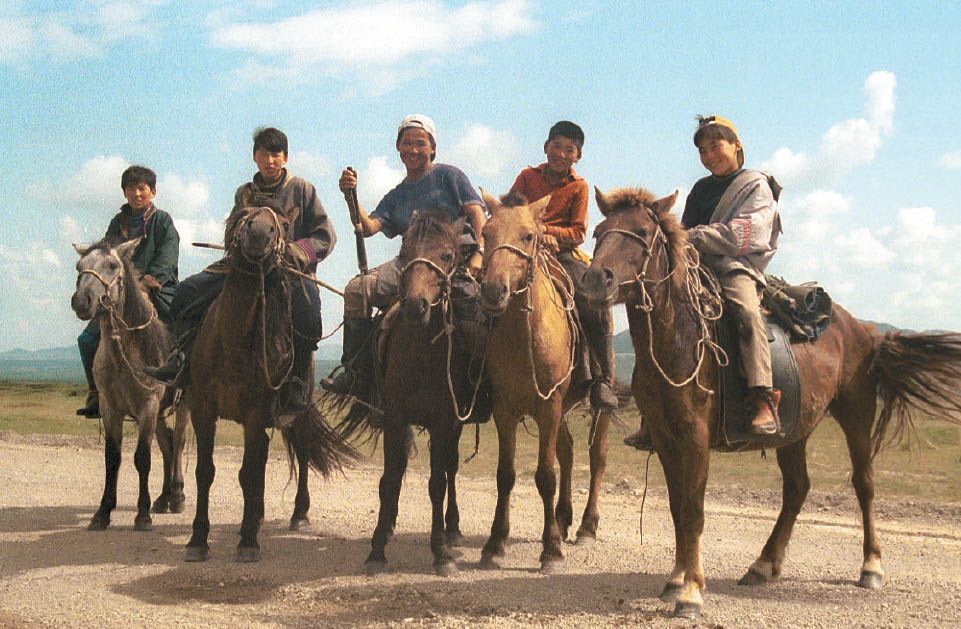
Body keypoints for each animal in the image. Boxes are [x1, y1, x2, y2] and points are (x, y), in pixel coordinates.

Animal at [71, 238, 189, 532]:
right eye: (79, 266)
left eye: (113, 265)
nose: (81, 301)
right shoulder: (110, 408)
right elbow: (112, 458)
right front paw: (102, 513)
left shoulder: (148, 405)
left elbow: (142, 458)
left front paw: (143, 515)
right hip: (159, 413)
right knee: (167, 444)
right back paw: (163, 498)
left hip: (183, 405)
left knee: (179, 441)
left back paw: (177, 496)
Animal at [184, 202, 356, 564]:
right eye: (242, 215)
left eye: (285, 225)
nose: (261, 233)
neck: (232, 342)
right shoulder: (203, 411)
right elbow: (206, 472)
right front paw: (198, 539)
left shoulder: (253, 415)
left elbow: (248, 473)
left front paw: (248, 541)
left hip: (295, 415)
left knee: (300, 456)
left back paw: (298, 514)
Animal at [474, 190, 608, 568]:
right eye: (486, 232)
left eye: (529, 236)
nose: (493, 291)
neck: (525, 335)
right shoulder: (505, 410)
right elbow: (505, 475)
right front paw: (494, 544)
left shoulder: (548, 408)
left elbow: (545, 476)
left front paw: (550, 550)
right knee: (568, 451)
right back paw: (563, 520)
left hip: (593, 407)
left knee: (596, 458)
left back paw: (586, 527)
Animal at [580, 186, 960, 620]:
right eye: (599, 231)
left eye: (642, 232)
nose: (595, 279)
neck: (680, 339)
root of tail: (864, 330)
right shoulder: (664, 438)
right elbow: (678, 508)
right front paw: (676, 578)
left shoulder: (695, 439)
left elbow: (693, 512)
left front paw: (691, 593)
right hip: (794, 430)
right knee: (797, 488)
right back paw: (763, 564)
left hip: (857, 414)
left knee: (864, 484)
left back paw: (871, 567)